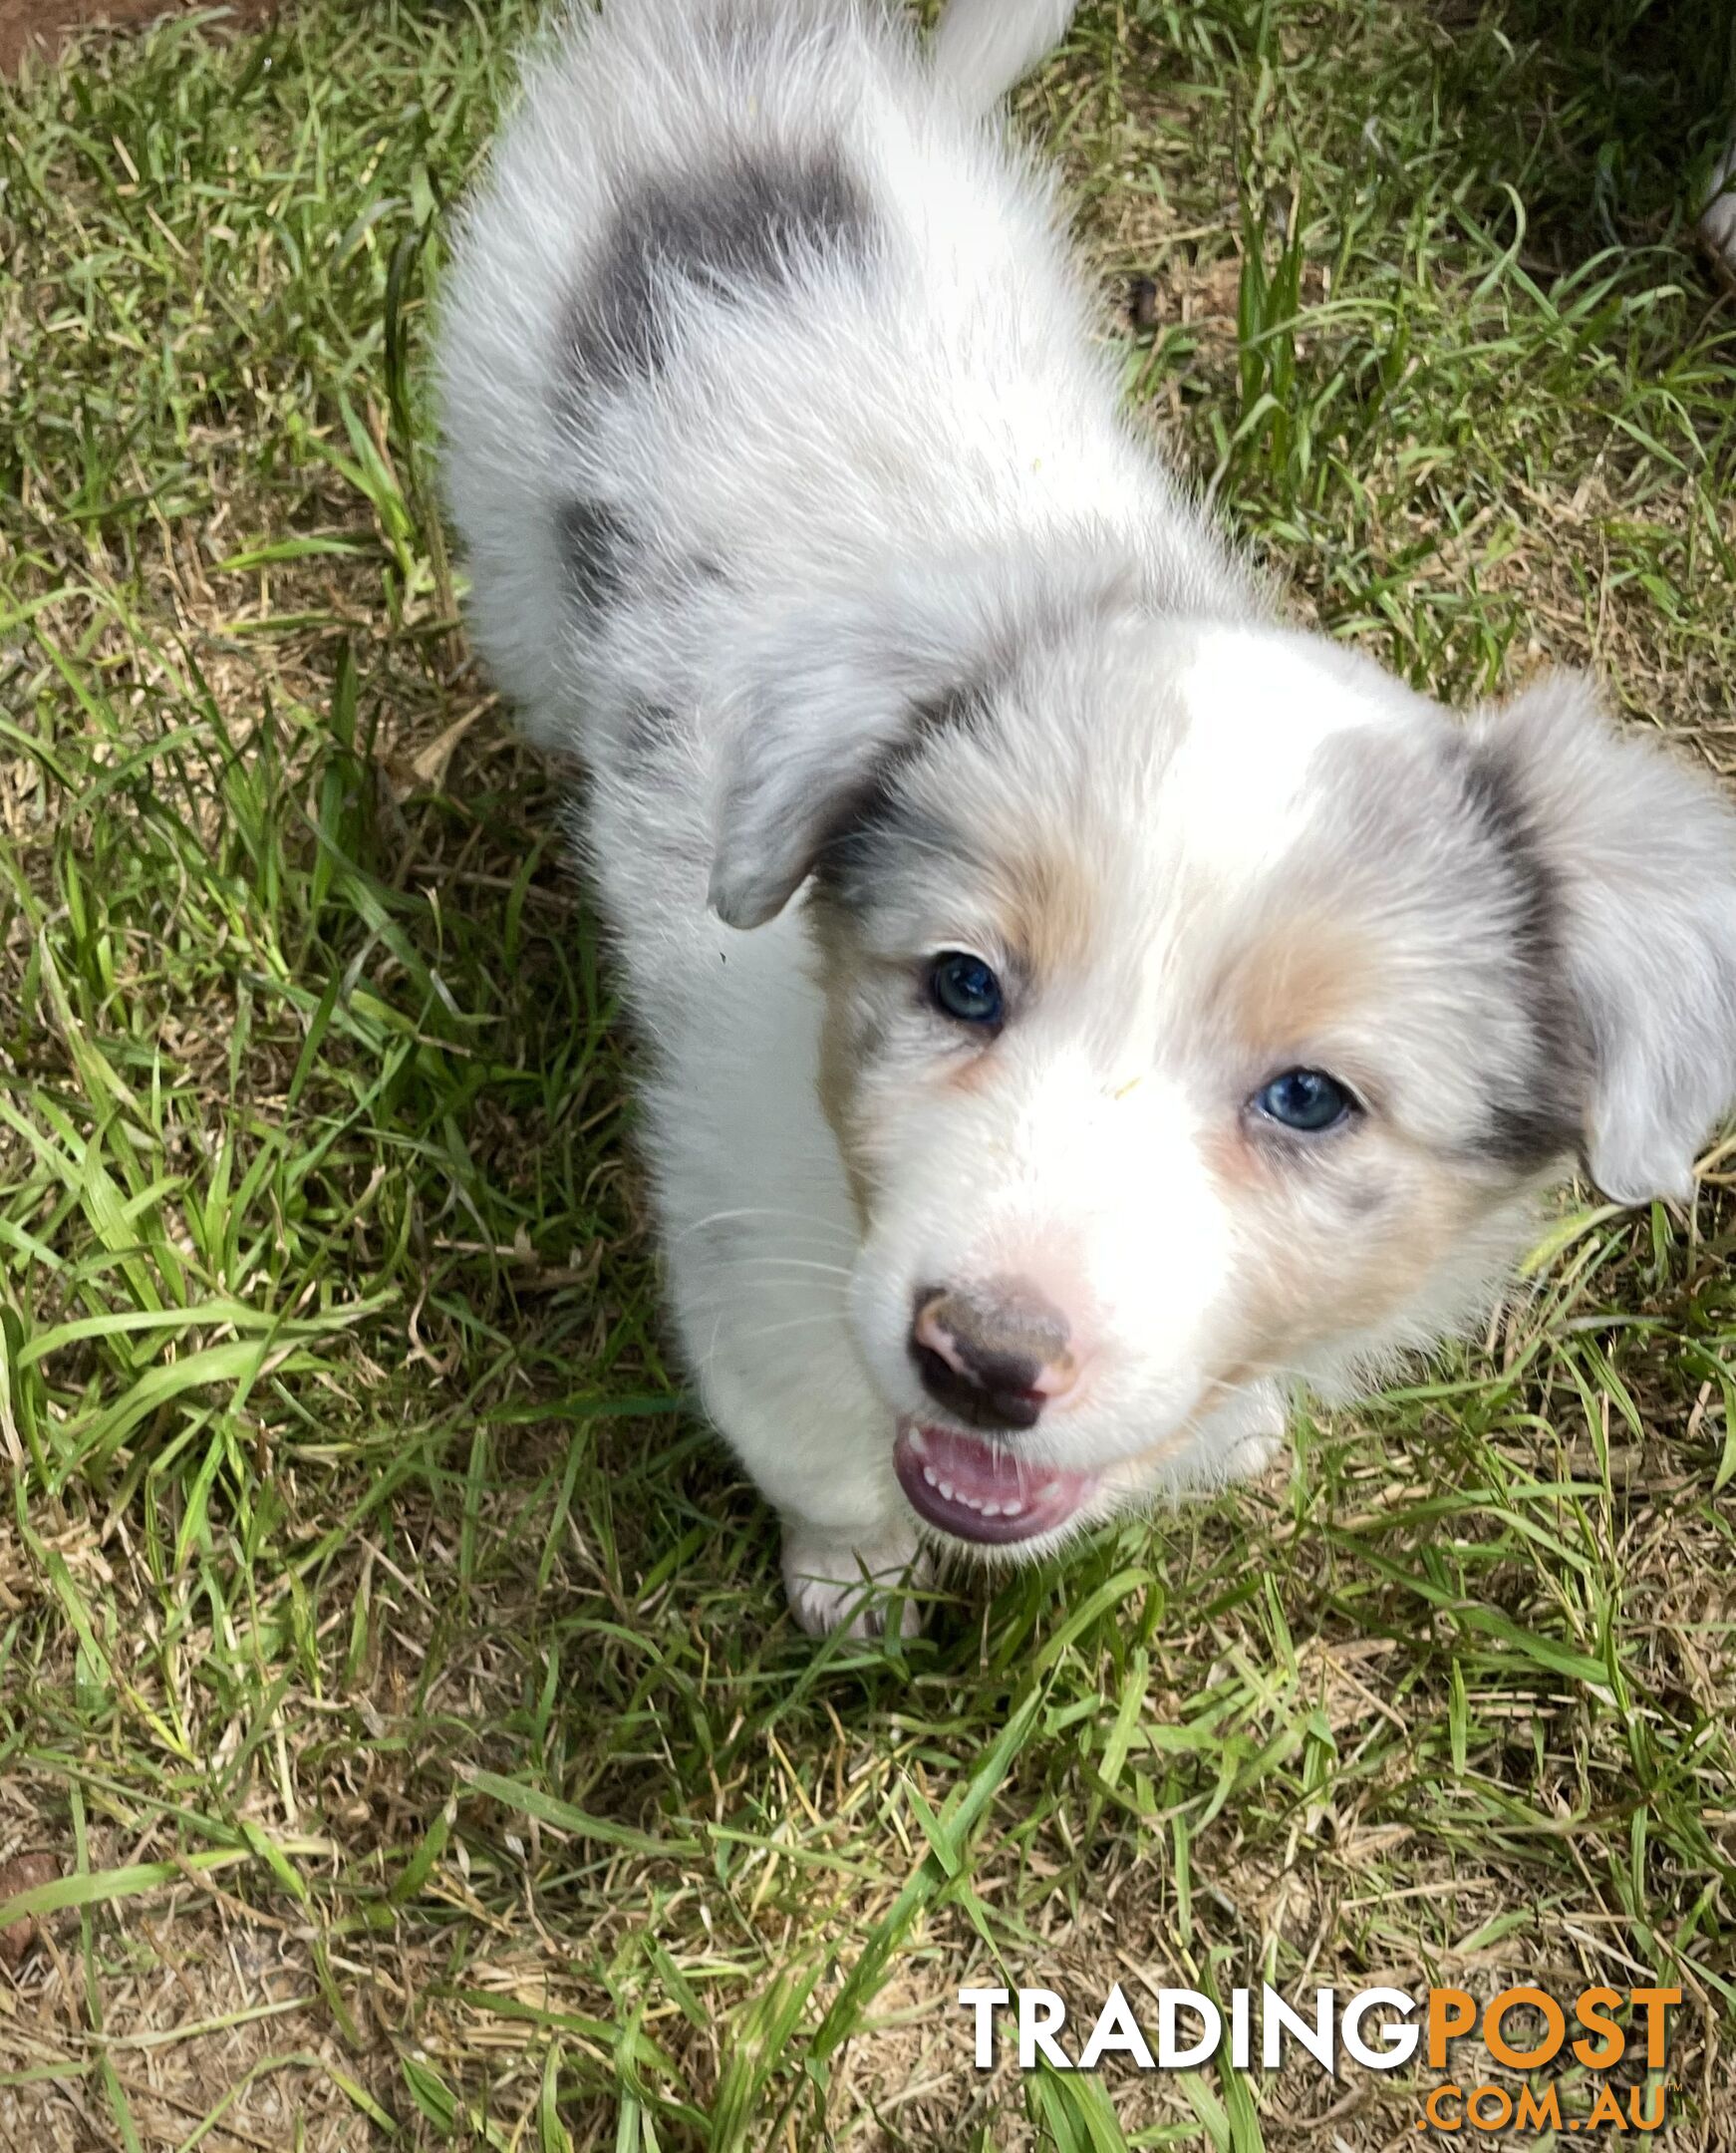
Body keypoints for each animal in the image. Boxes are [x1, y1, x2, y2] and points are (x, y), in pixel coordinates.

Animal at [438, 0, 1736, 1627]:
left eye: (1307, 1099)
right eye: (961, 984)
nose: (980, 1361)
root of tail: (747, 62)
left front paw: (1230, 1438)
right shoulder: (744, 1243)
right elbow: (811, 1447)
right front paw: (853, 1584)